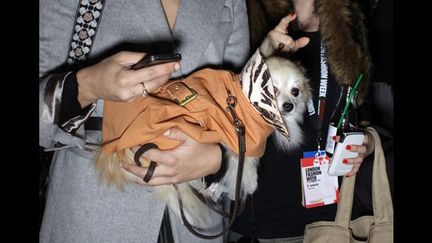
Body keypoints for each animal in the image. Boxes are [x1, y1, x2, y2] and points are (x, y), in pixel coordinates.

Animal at [96, 41, 308, 230]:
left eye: (295, 91)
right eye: (273, 90)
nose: (289, 106)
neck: (250, 104)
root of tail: (114, 147)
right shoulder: (242, 140)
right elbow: (245, 165)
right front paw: (249, 184)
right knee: (173, 191)